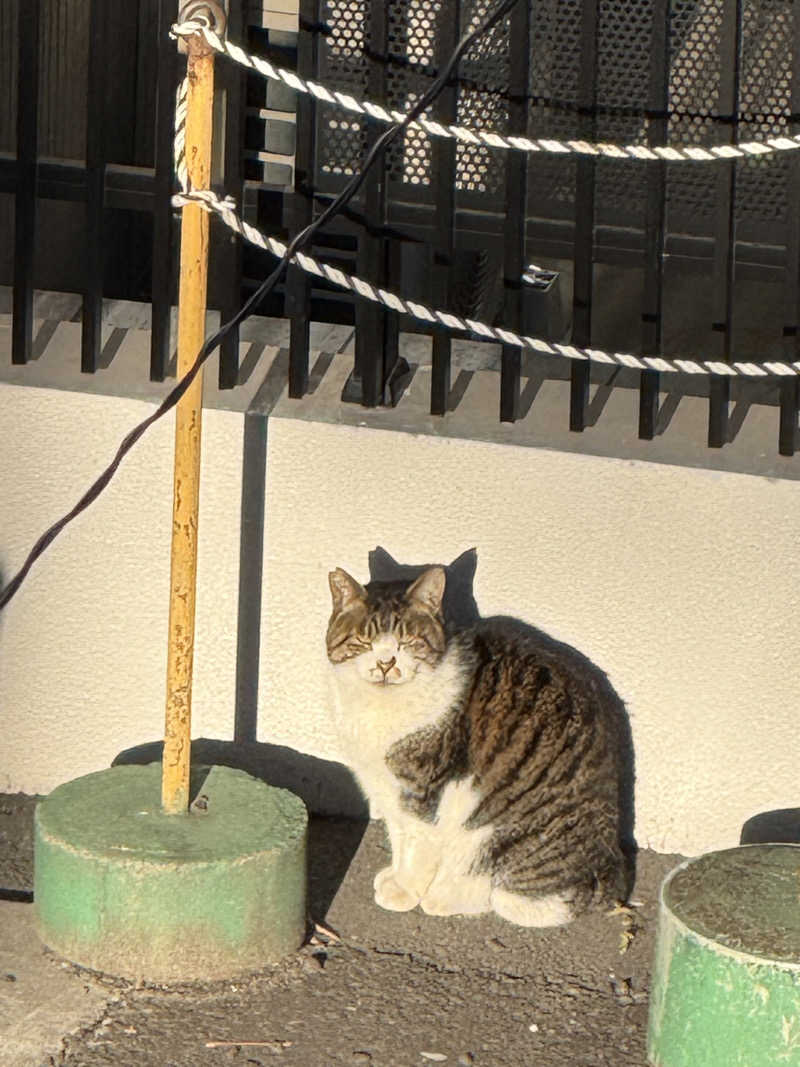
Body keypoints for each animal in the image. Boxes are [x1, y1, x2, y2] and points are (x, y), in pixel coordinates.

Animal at [328, 567, 635, 926]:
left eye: (408, 642)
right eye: (364, 642)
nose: (386, 663)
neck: (378, 708)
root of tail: (611, 866)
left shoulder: (422, 789)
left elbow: (417, 843)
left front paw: (405, 890)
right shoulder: (385, 788)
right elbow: (398, 835)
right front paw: (394, 876)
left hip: (501, 835)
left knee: (524, 900)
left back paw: (444, 896)